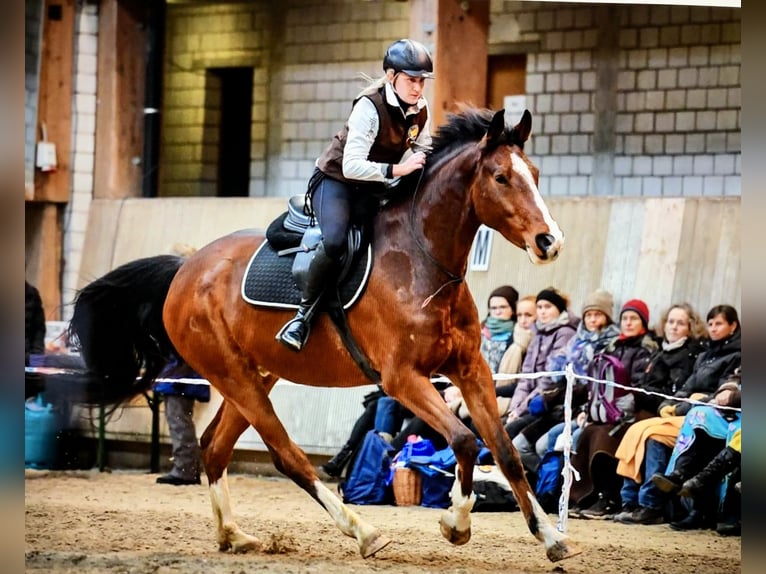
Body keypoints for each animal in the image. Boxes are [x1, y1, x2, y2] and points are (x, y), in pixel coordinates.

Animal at [70, 107, 584, 564]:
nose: (550, 241)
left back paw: (234, 535)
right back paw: (364, 532)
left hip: (255, 376)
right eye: (501, 177)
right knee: (286, 456)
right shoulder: (402, 379)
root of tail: (185, 268)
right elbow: (463, 441)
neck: (421, 262)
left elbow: (504, 451)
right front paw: (455, 524)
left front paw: (550, 538)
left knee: (215, 448)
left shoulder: (469, 368)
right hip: (233, 375)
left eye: (535, 173)